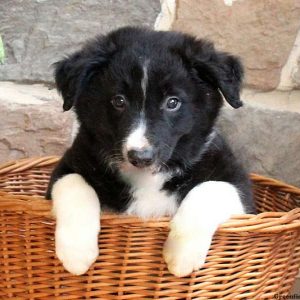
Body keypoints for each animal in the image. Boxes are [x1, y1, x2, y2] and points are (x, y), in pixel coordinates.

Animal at [46, 25, 255, 276]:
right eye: (119, 101)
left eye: (172, 102)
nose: (140, 157)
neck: (147, 178)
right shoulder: (70, 163)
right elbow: (74, 183)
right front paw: (76, 252)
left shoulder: (241, 191)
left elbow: (211, 188)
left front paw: (181, 255)